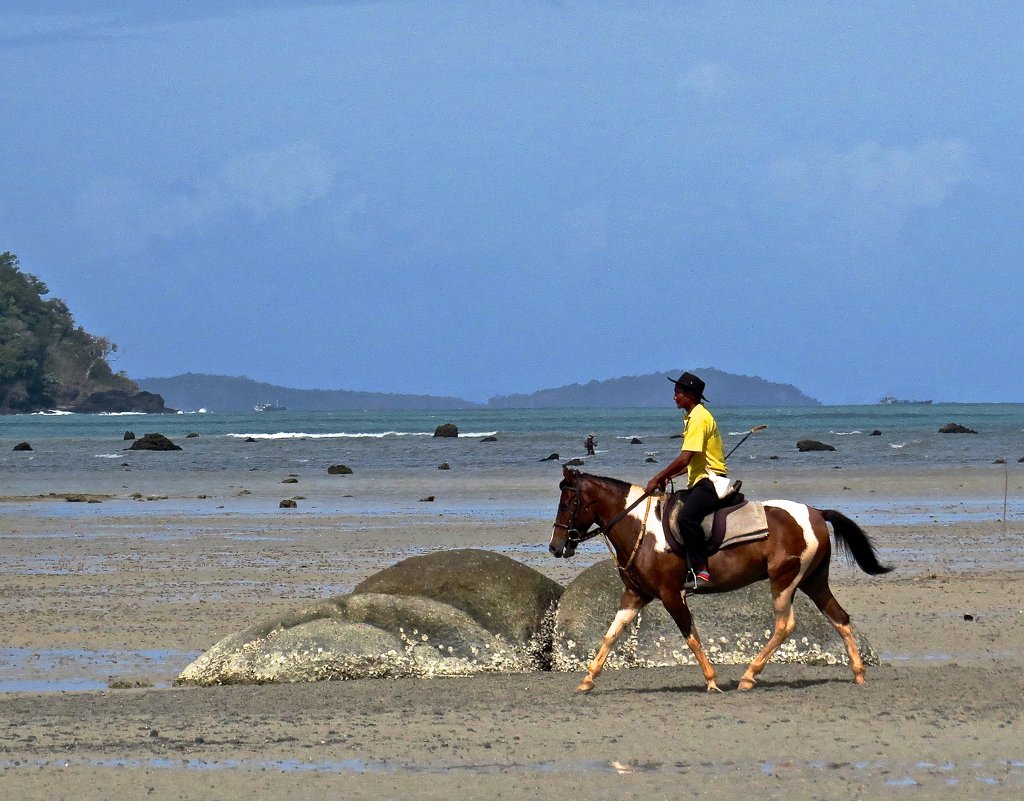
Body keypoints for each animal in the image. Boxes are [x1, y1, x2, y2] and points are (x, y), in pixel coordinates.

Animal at [548, 467, 892, 692]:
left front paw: (712, 681)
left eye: (566, 503)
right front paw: (588, 679)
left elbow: (691, 637)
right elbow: (611, 634)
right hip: (813, 581)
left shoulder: (671, 595)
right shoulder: (635, 595)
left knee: (785, 625)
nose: (555, 547)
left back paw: (749, 676)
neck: (642, 529)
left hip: (784, 581)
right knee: (840, 618)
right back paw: (858, 673)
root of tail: (816, 513)